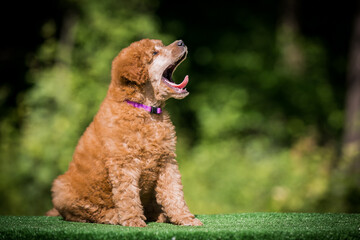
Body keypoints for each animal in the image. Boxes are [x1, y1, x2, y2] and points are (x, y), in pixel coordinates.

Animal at [46, 39, 202, 227]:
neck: (145, 110)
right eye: (155, 53)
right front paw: (133, 221)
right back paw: (113, 216)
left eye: (162, 45)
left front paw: (185, 218)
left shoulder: (166, 161)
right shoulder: (124, 162)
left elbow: (174, 192)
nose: (181, 42)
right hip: (61, 188)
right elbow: (128, 195)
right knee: (81, 212)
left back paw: (158, 215)